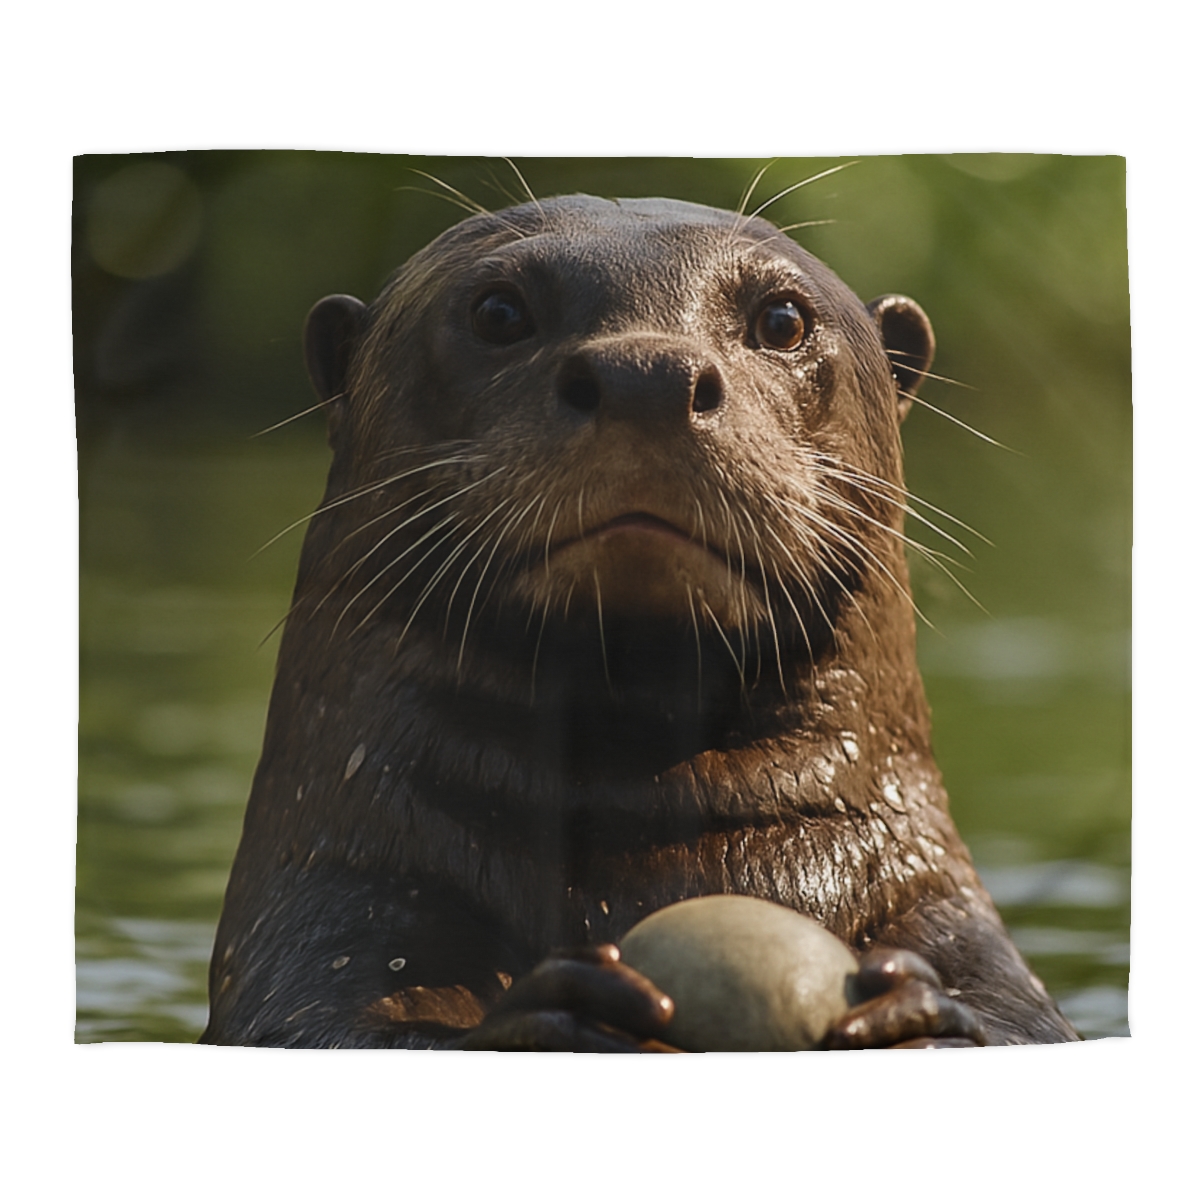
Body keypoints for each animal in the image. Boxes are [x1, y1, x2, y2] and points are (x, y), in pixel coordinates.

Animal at [201, 194, 1078, 1049]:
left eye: (782, 319)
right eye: (498, 311)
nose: (647, 373)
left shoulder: (943, 917)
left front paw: (908, 1008)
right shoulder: (334, 906)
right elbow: (336, 1024)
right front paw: (558, 1012)